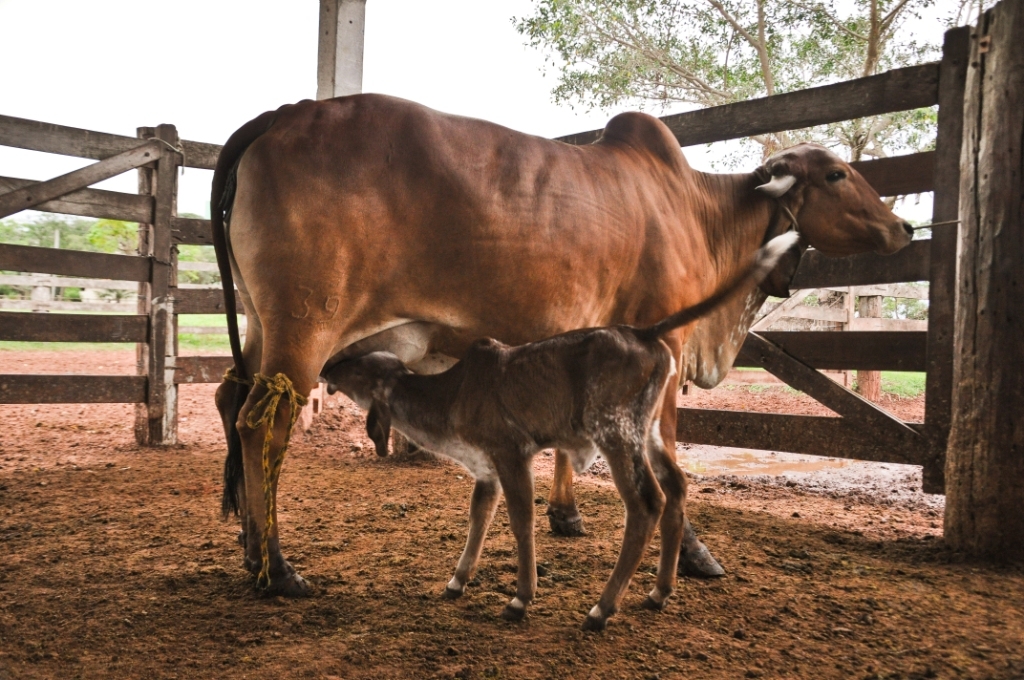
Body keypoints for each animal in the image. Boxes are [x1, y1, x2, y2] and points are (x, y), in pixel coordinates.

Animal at [321, 231, 798, 630]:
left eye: (358, 368)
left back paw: (602, 608)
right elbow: (479, 517)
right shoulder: (485, 468)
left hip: (615, 431)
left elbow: (521, 520)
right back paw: (659, 591)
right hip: (653, 429)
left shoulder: (512, 451)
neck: (449, 399)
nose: (328, 365)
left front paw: (520, 598)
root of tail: (642, 332)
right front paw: (457, 581)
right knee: (677, 487)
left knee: (647, 503)